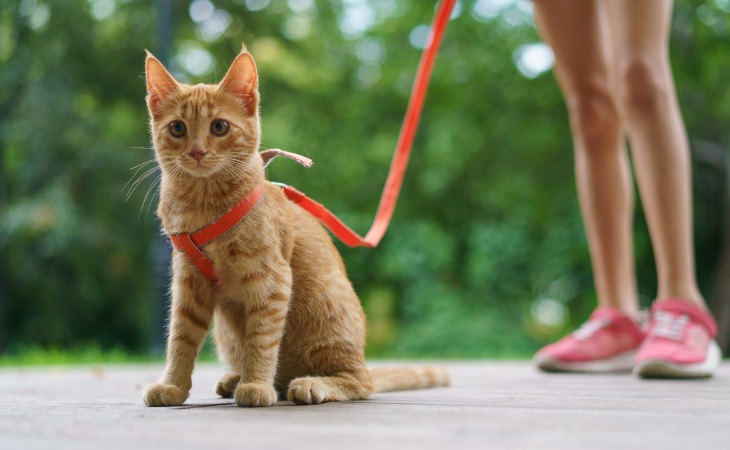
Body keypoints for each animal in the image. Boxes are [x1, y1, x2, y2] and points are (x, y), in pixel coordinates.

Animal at [141, 49, 446, 408]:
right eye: (177, 128)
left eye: (219, 126)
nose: (198, 151)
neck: (203, 205)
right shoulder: (189, 282)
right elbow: (181, 338)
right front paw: (173, 386)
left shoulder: (271, 280)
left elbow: (261, 338)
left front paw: (256, 385)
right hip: (226, 332)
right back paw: (236, 379)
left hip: (327, 310)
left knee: (360, 382)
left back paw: (308, 384)